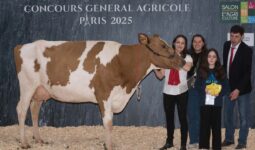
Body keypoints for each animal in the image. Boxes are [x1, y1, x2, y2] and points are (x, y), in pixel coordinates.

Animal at [13, 33, 184, 149]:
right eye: (163, 45)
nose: (182, 61)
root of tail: (22, 46)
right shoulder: (104, 95)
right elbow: (108, 123)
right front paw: (109, 146)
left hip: (40, 91)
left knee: (34, 110)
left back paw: (39, 139)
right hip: (27, 86)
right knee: (21, 109)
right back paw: (24, 142)